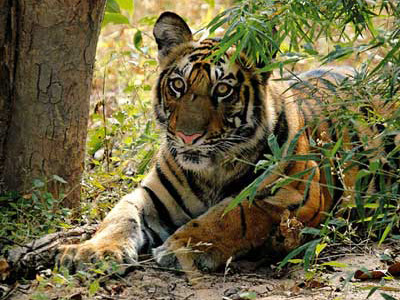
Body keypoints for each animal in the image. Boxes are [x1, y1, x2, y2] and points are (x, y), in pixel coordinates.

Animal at [57, 9, 398, 276]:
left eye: (222, 89)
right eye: (177, 85)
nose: (188, 136)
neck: (211, 172)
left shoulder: (300, 193)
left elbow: (237, 214)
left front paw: (181, 246)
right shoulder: (150, 196)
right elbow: (118, 220)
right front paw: (93, 251)